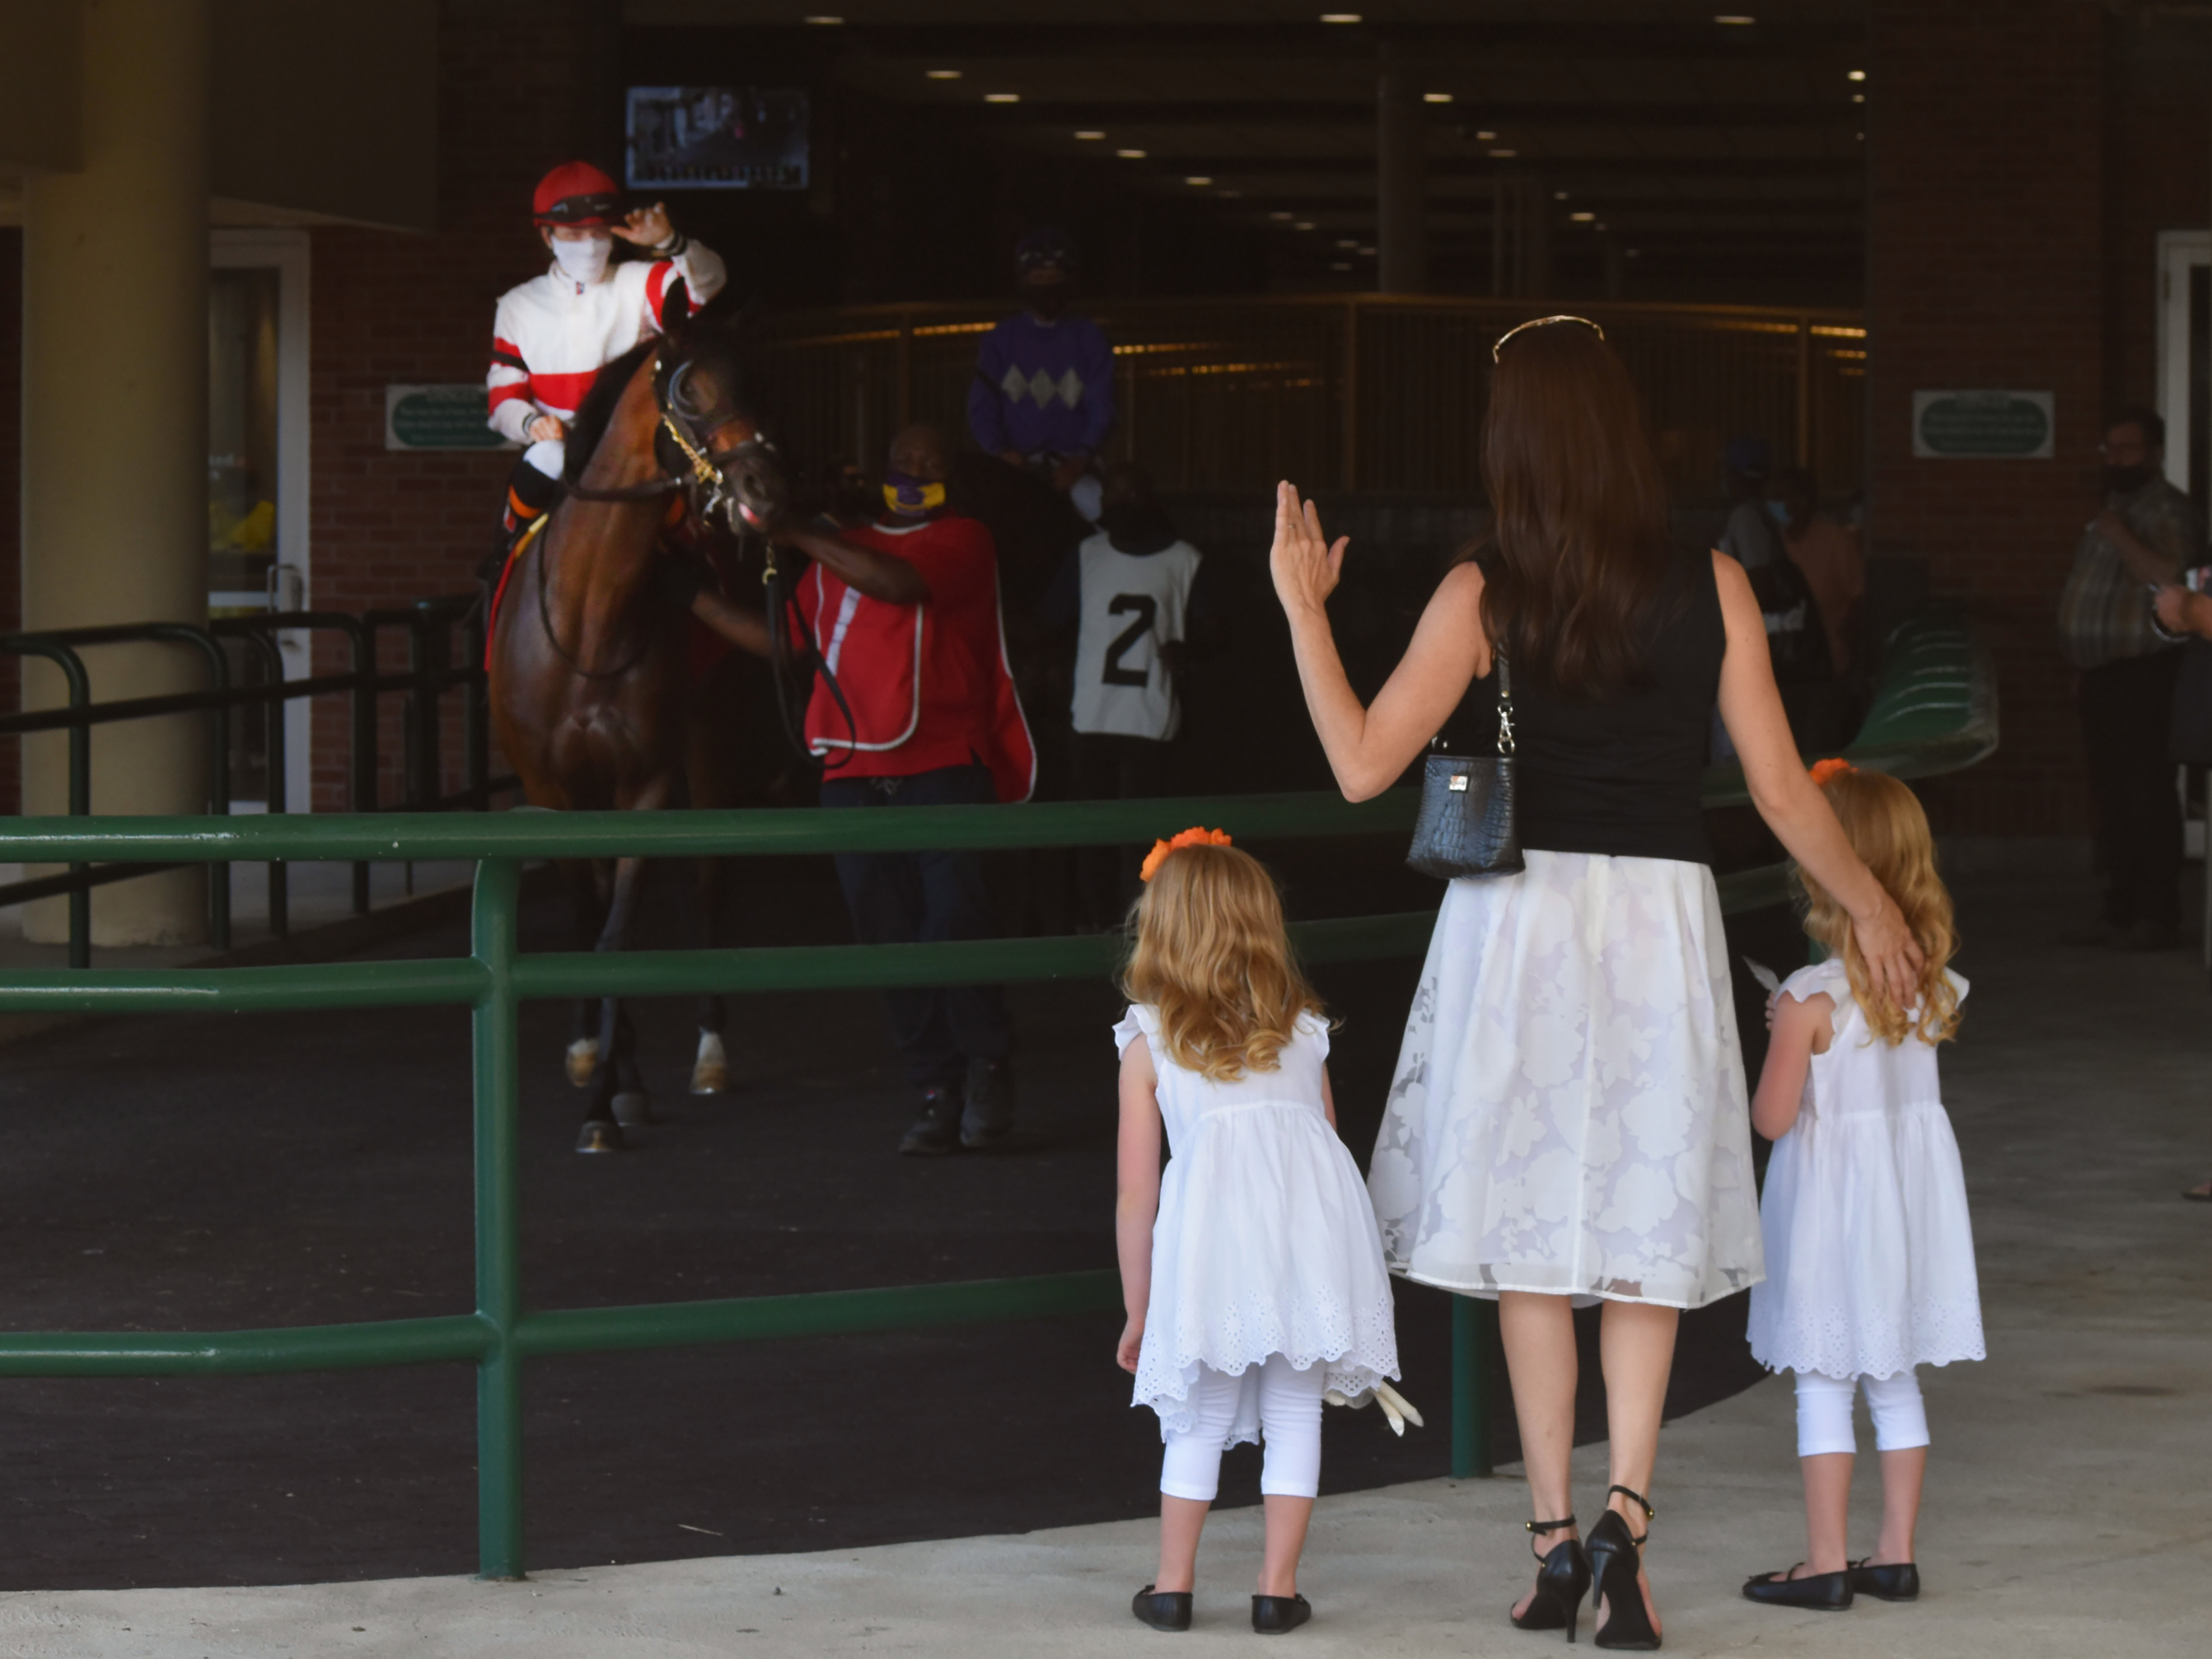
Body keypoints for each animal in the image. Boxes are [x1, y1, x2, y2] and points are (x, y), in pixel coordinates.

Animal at [489, 318, 792, 1159]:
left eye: (753, 379)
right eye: (689, 388)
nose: (762, 489)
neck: (589, 622)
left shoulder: (647, 784)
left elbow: (617, 934)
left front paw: (608, 1097)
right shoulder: (553, 788)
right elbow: (589, 918)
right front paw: (599, 1060)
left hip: (711, 749)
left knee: (709, 886)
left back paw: (708, 1050)